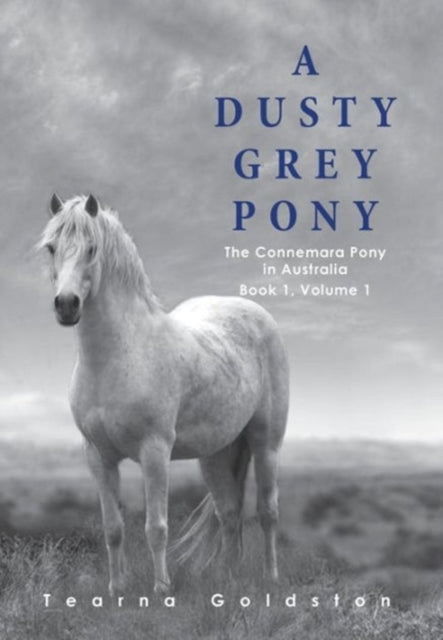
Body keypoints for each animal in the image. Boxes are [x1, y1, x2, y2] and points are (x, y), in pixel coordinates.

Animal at [38, 193, 289, 596]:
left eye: (92, 248)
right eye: (51, 247)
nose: (66, 305)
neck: (119, 354)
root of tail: (256, 312)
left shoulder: (154, 451)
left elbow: (156, 528)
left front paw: (161, 589)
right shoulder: (98, 456)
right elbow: (113, 528)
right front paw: (117, 589)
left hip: (266, 443)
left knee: (267, 512)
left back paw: (271, 578)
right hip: (216, 454)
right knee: (229, 513)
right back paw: (229, 579)